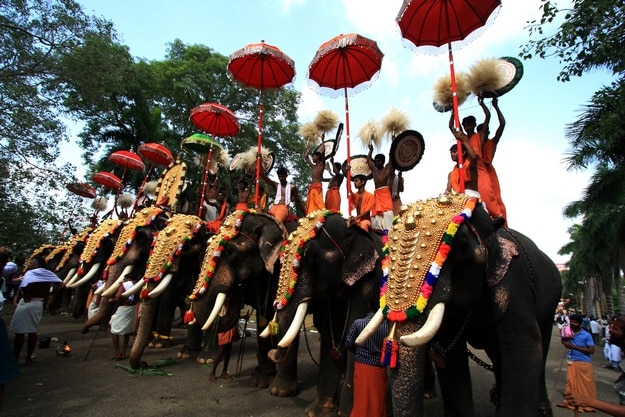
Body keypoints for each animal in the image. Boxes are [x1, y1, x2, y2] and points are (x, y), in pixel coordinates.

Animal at [258, 210, 382, 416]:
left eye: (311, 257)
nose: (272, 352)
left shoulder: (369, 281)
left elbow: (356, 333)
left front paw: (346, 413)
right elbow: (330, 337)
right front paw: (318, 412)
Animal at [354, 195, 564, 416]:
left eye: (462, 247)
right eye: (387, 254)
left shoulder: (514, 282)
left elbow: (524, 348)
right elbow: (452, 360)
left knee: (541, 343)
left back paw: (541, 409)